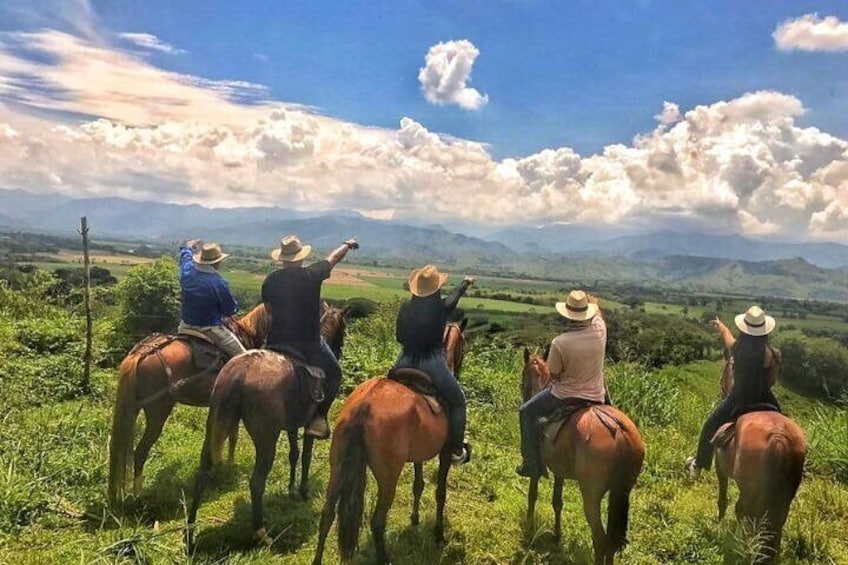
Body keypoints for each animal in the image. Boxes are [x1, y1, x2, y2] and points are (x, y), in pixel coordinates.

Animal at [187, 304, 362, 548]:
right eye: (344, 327)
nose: (341, 348)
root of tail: (241, 371)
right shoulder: (307, 426)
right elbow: (305, 455)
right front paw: (303, 490)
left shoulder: (291, 425)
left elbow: (293, 454)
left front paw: (290, 487)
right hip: (266, 440)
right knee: (256, 483)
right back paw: (260, 532)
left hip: (214, 426)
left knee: (203, 471)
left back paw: (190, 533)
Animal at [314, 318, 470, 564]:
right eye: (463, 343)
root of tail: (365, 406)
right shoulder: (445, 453)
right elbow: (440, 492)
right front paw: (438, 533)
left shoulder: (419, 455)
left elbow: (418, 485)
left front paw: (415, 518)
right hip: (388, 477)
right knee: (377, 521)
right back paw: (384, 557)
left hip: (337, 466)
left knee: (327, 513)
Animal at [520, 350, 644, 560]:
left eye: (522, 374)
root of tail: (619, 431)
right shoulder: (559, 470)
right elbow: (557, 502)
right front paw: (557, 537)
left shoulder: (537, 465)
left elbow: (532, 494)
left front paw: (529, 528)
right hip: (621, 491)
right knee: (610, 542)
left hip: (591, 495)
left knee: (600, 539)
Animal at [712, 410, 804, 560]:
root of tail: (778, 435)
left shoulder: (720, 467)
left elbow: (723, 499)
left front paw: (720, 526)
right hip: (784, 493)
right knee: (777, 517)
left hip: (749, 488)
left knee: (742, 510)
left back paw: (744, 545)